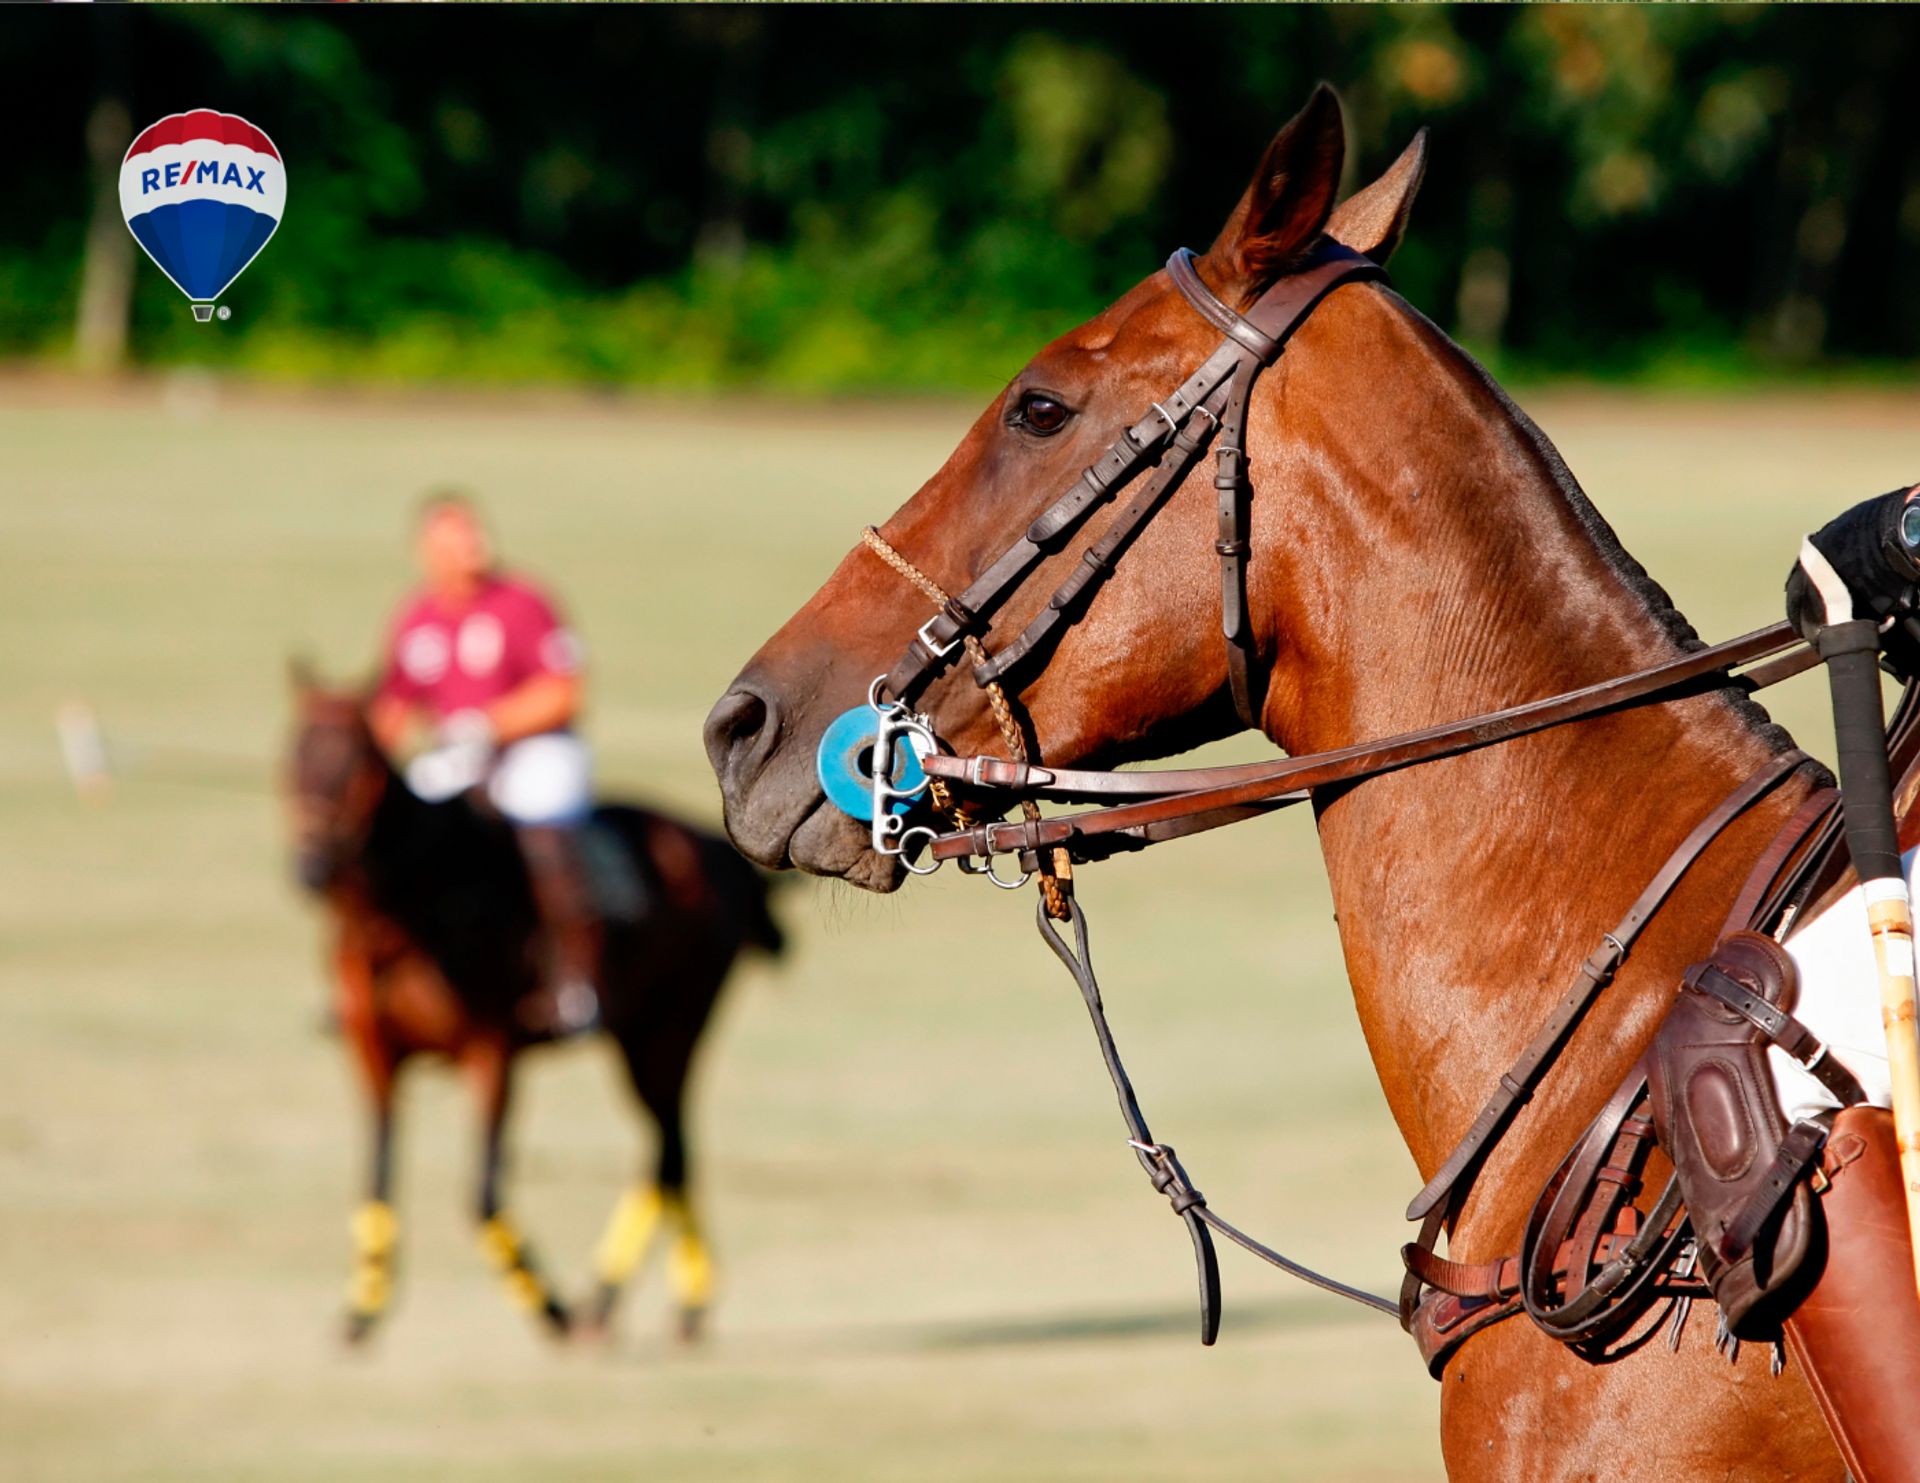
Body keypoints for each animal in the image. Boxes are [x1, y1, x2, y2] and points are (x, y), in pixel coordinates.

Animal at [286, 670, 783, 1344]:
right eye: (289, 764)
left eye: (355, 769)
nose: (310, 868)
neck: (407, 911)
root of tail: (712, 846)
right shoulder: (375, 1055)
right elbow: (378, 1176)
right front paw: (363, 1308)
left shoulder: (491, 1053)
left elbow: (483, 1193)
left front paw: (553, 1309)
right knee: (674, 1153)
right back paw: (680, 1304)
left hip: (668, 1030)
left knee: (669, 1153)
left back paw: (606, 1299)